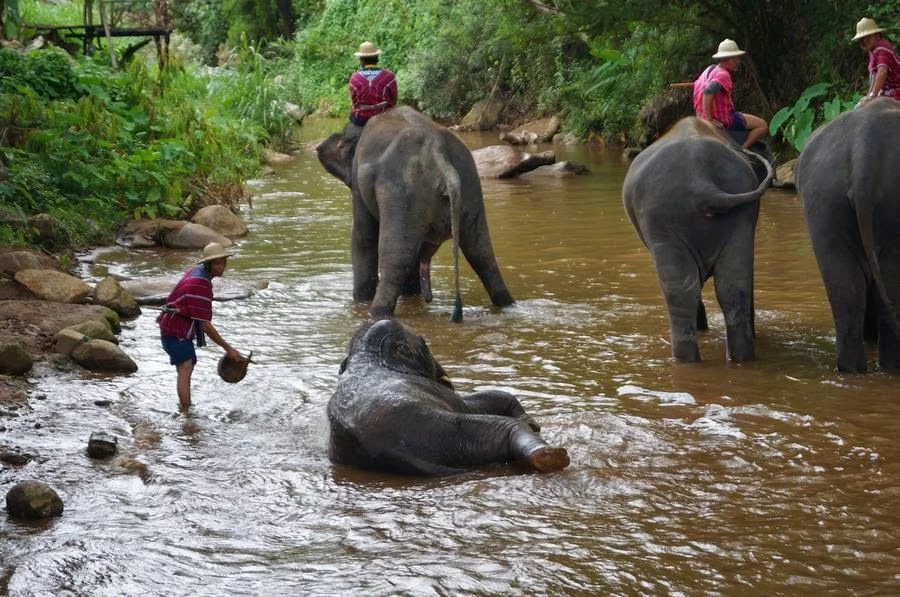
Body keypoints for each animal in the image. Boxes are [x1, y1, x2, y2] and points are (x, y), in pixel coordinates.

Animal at [316, 106, 514, 322]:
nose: (318, 148)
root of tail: (440, 155)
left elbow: (364, 237)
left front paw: (361, 300)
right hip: (470, 187)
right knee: (482, 254)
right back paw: (507, 304)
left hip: (405, 193)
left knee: (396, 257)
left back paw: (376, 314)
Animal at [328, 319, 570, 476]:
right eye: (425, 344)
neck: (367, 356)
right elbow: (469, 404)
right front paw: (532, 423)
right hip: (451, 432)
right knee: (506, 428)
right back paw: (551, 456)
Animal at [622, 117, 773, 362]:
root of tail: (701, 183)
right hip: (721, 214)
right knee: (728, 287)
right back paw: (737, 357)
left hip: (661, 221)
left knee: (683, 290)